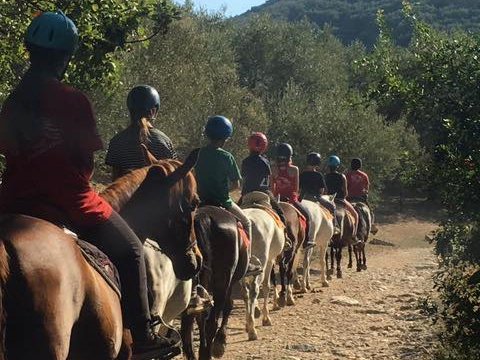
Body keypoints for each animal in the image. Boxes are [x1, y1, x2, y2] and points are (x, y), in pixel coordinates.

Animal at [180, 205, 248, 360]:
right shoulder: (228, 283)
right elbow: (228, 306)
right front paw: (220, 343)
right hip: (222, 282)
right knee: (212, 321)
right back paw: (207, 351)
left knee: (191, 321)